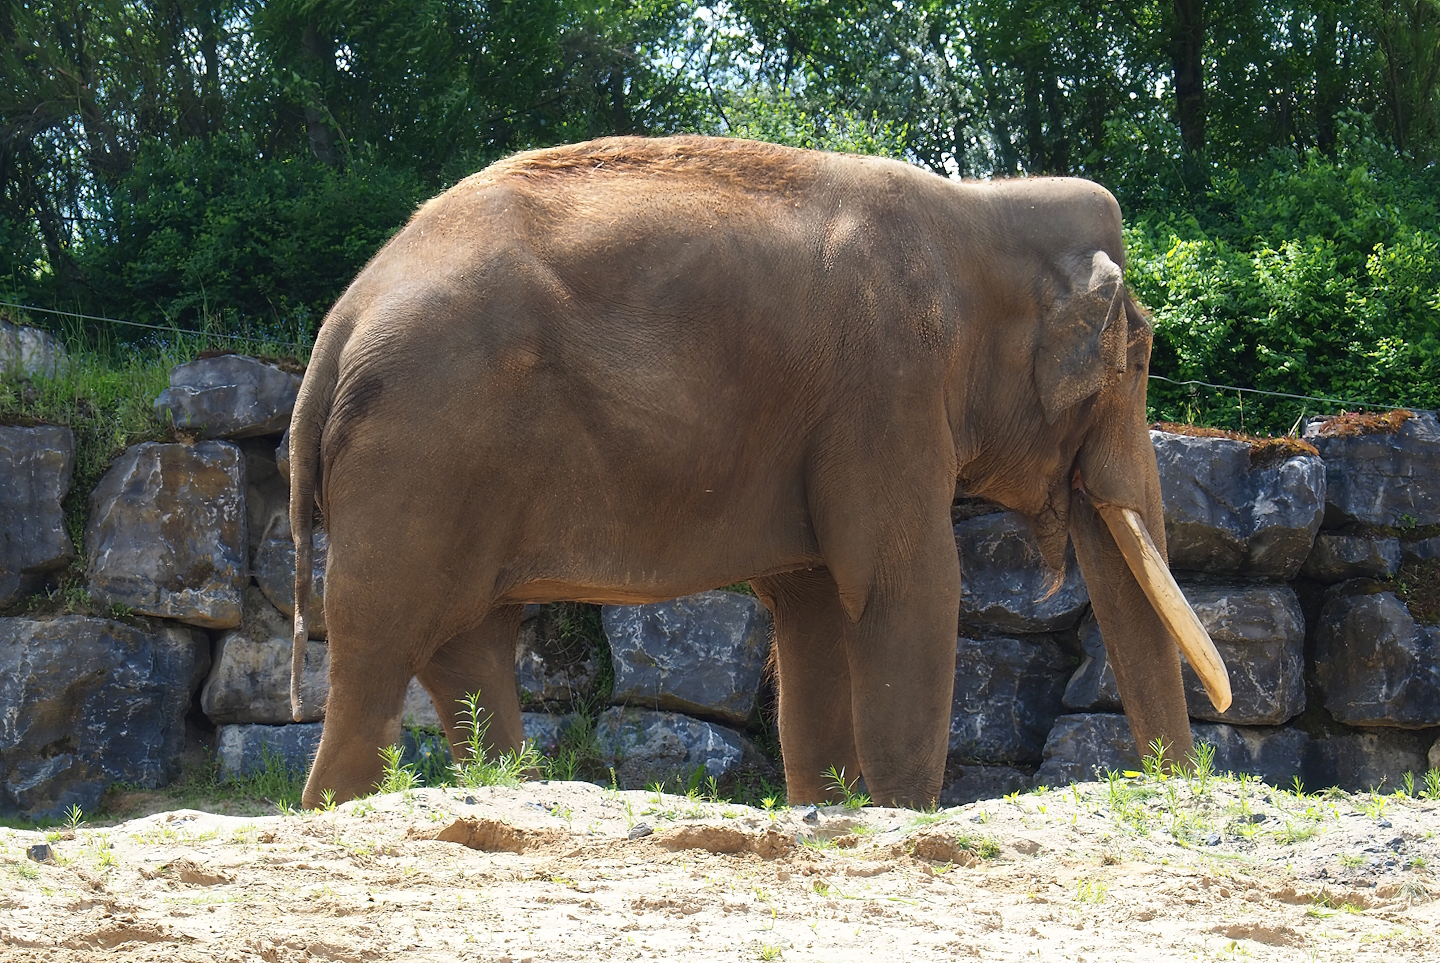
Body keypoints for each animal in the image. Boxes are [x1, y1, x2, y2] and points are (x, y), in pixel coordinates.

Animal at [287, 135, 1230, 809]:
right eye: (1138, 361)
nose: (1174, 785)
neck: (983, 214)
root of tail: (340, 321)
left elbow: (813, 610)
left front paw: (831, 805)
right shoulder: (887, 389)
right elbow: (910, 586)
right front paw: (905, 812)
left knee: (466, 651)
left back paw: (506, 790)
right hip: (418, 456)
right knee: (377, 659)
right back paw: (335, 802)